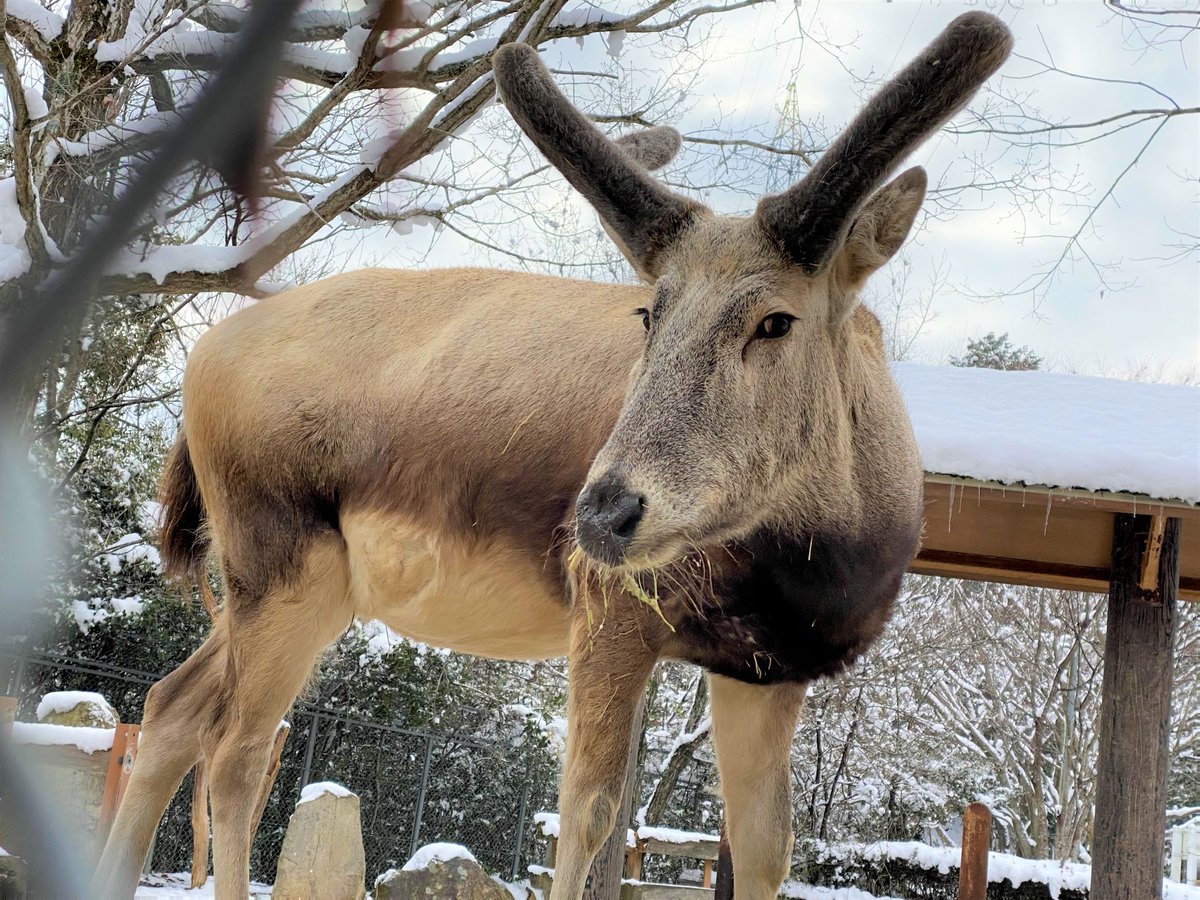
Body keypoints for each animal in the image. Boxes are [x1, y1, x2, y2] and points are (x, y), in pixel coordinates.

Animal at [91, 14, 1012, 900]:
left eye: (775, 320)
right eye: (650, 312)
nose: (603, 511)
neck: (829, 563)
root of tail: (200, 361)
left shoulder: (765, 667)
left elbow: (765, 849)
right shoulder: (610, 610)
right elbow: (588, 812)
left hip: (293, 582)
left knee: (173, 705)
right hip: (280, 554)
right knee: (237, 748)